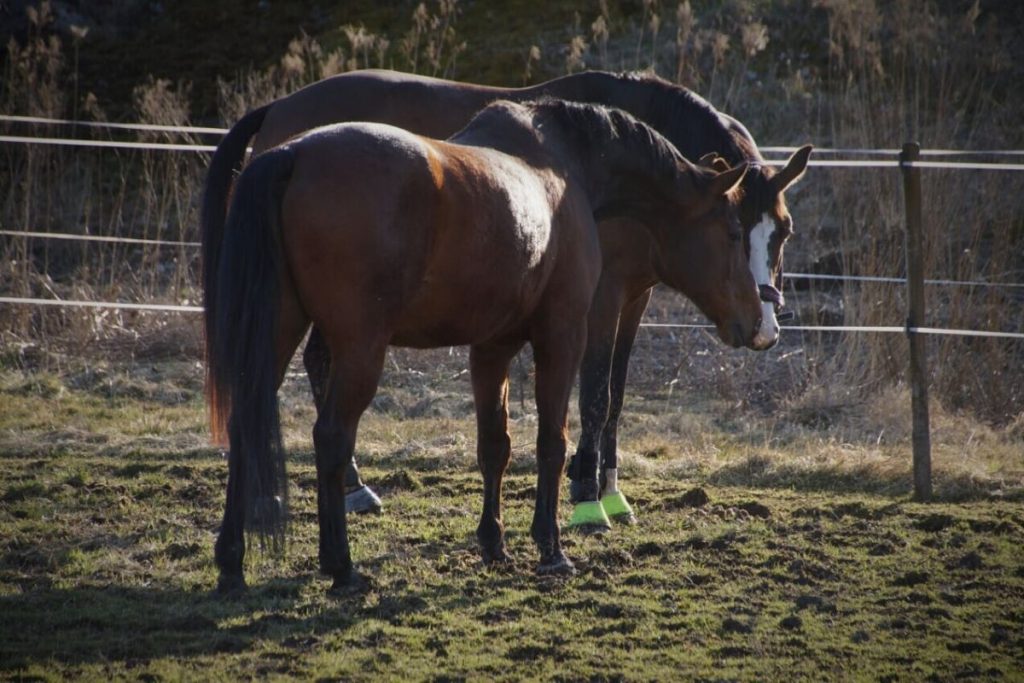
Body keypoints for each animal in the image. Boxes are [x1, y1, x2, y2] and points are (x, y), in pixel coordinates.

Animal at [197, 69, 806, 528]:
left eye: (782, 231)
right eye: (735, 231)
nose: (764, 328)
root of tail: (281, 116)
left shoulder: (634, 299)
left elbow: (615, 395)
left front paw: (611, 490)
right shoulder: (600, 298)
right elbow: (594, 394)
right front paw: (588, 496)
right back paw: (305, 492)